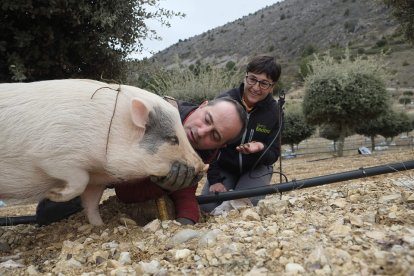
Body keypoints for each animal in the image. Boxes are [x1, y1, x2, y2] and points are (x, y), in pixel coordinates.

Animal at [0, 78, 207, 225]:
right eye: (172, 138)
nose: (203, 166)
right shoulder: (53, 156)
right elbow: (78, 181)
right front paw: (52, 193)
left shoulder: (96, 180)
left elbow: (91, 202)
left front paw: (100, 226)